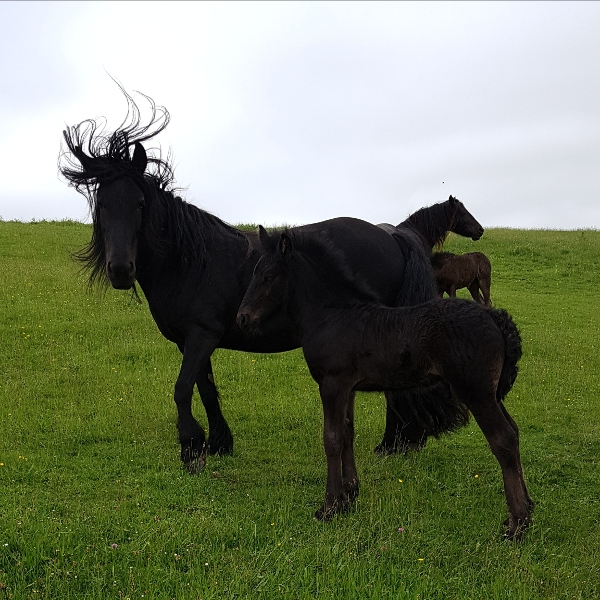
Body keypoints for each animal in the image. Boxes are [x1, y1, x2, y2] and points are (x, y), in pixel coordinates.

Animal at [58, 90, 486, 474]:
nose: (120, 270)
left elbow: (182, 389)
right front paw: (219, 444)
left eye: (140, 204)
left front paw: (191, 450)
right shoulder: (193, 340)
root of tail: (391, 235)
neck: (190, 260)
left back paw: (392, 444)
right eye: (101, 204)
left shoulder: (201, 334)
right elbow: (206, 388)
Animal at [237, 227, 532, 540]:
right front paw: (349, 496)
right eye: (255, 273)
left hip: (477, 393)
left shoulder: (331, 384)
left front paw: (328, 508)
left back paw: (516, 524)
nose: (242, 317)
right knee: (514, 432)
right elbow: (347, 433)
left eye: (268, 276)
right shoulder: (347, 387)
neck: (332, 315)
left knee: (503, 439)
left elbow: (331, 438)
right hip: (492, 393)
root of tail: (493, 317)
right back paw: (527, 510)